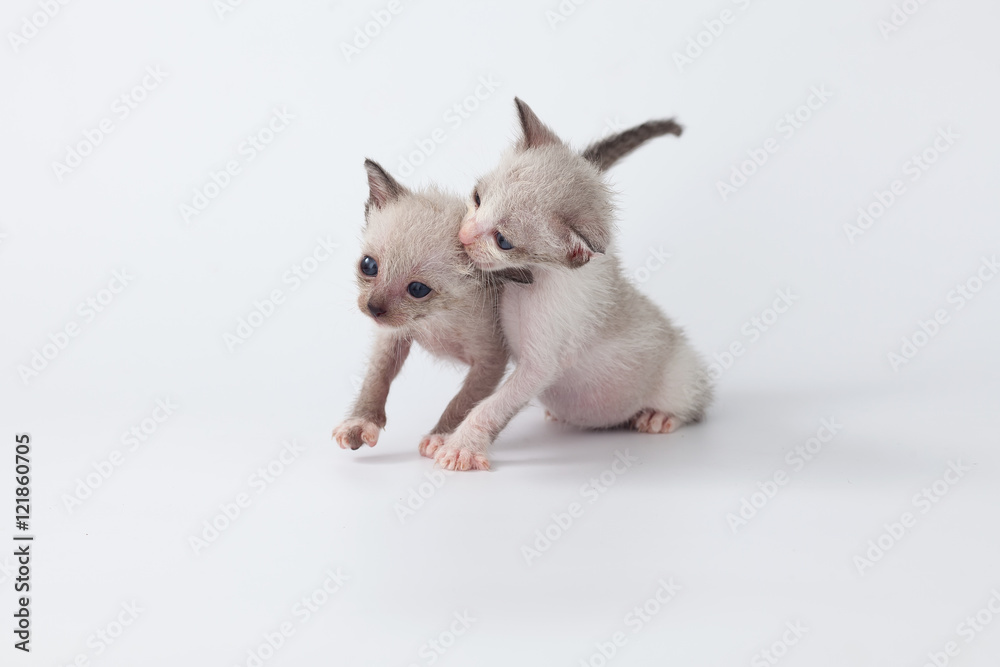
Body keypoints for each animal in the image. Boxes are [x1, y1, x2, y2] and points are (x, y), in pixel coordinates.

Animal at [336, 116, 688, 470]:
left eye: (418, 290)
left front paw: (443, 437)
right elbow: (377, 376)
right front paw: (361, 422)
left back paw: (659, 415)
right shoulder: (393, 333)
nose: (373, 308)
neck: (436, 320)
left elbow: (467, 401)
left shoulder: (492, 359)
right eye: (369, 266)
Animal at [436, 98, 712, 464]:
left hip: (681, 374)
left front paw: (461, 445)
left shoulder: (541, 366)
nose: (464, 237)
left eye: (503, 241)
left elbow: (492, 405)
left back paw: (659, 416)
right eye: (477, 197)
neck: (533, 282)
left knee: (696, 403)